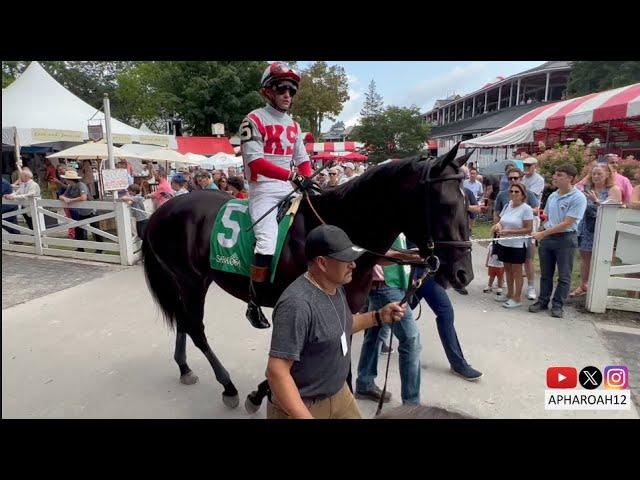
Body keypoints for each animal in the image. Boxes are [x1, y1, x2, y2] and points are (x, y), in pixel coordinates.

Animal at [145, 142, 476, 408]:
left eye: (467, 203)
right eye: (447, 205)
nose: (464, 274)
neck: (339, 230)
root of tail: (162, 210)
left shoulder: (348, 308)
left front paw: (262, 392)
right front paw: (259, 394)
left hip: (188, 282)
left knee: (183, 322)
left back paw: (185, 368)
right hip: (191, 281)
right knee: (195, 327)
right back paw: (227, 386)